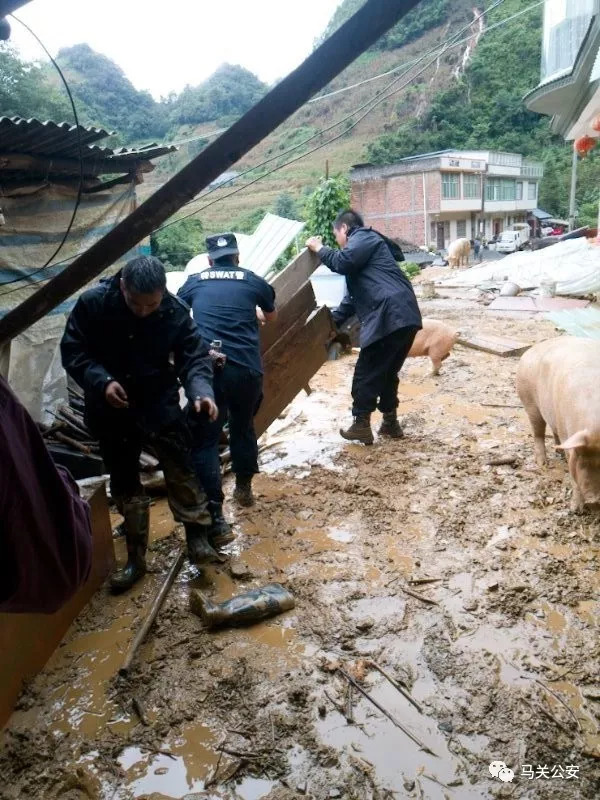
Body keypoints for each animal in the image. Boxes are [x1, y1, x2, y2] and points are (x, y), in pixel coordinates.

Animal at [512, 336, 600, 512]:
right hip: (530, 403)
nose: (594, 501)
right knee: (538, 433)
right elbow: (573, 477)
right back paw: (542, 463)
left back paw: (557, 451)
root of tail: (529, 351)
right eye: (583, 461)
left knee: (554, 431)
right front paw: (576, 510)